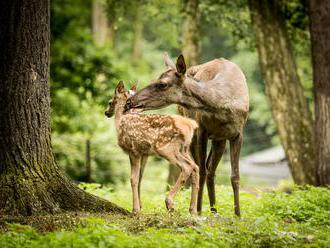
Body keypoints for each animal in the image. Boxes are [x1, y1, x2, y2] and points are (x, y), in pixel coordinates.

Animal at [125, 53, 249, 215]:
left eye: (162, 84)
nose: (129, 101)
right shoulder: (202, 130)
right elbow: (201, 171)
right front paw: (198, 210)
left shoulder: (238, 134)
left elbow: (235, 176)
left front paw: (238, 215)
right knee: (205, 168)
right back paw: (209, 210)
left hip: (219, 139)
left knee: (210, 169)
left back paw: (214, 211)